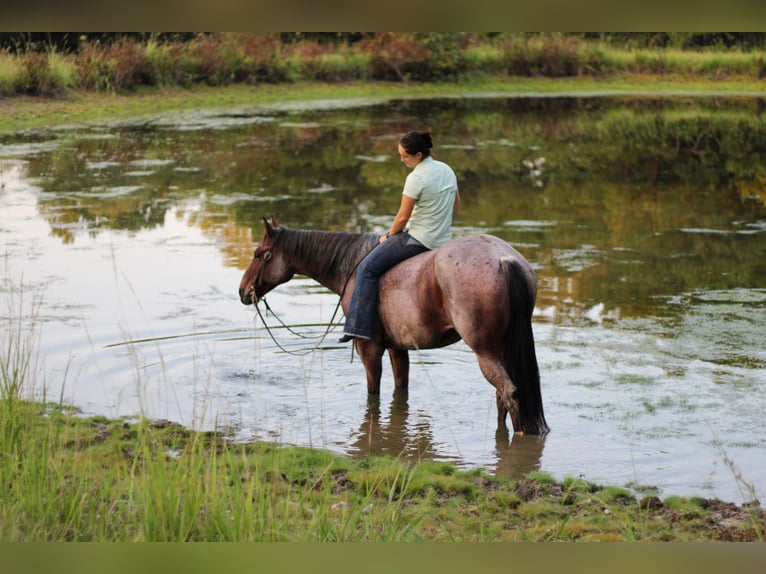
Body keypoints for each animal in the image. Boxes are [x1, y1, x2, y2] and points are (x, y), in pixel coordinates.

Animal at [237, 217, 548, 436]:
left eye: (258, 253)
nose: (242, 291)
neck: (352, 265)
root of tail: (504, 259)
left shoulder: (369, 348)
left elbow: (373, 393)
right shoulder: (399, 348)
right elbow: (401, 392)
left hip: (486, 352)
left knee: (508, 392)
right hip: (503, 350)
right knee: (504, 395)